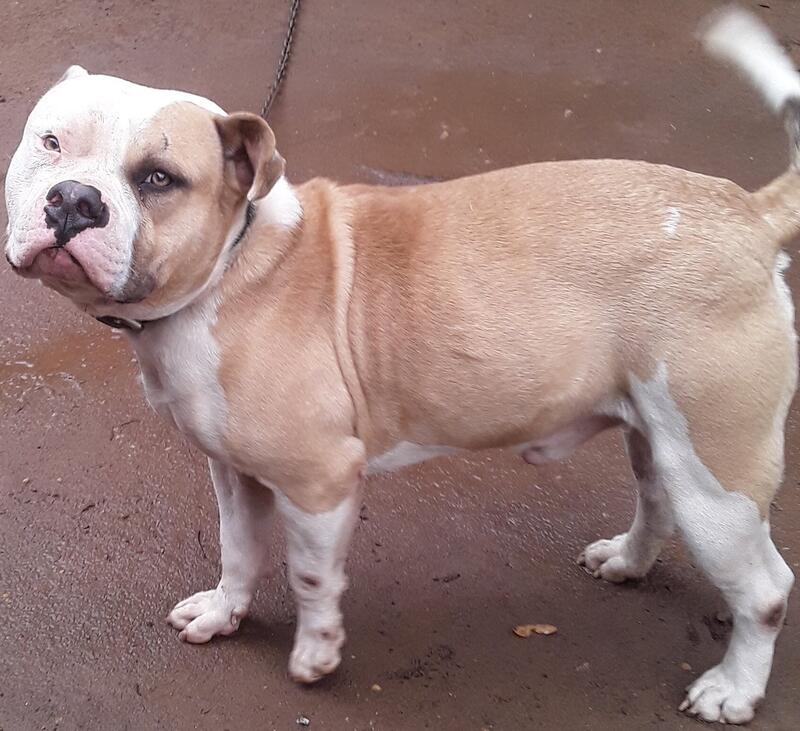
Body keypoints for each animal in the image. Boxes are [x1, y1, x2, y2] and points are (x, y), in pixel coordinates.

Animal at [4, 7, 798, 724]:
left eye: (160, 178)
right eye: (50, 141)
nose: (74, 200)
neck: (235, 261)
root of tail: (747, 213)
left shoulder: (319, 480)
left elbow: (310, 574)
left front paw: (315, 655)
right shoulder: (232, 469)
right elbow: (238, 550)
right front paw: (225, 613)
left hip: (719, 484)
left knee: (764, 590)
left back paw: (732, 688)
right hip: (664, 440)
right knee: (656, 497)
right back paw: (627, 561)